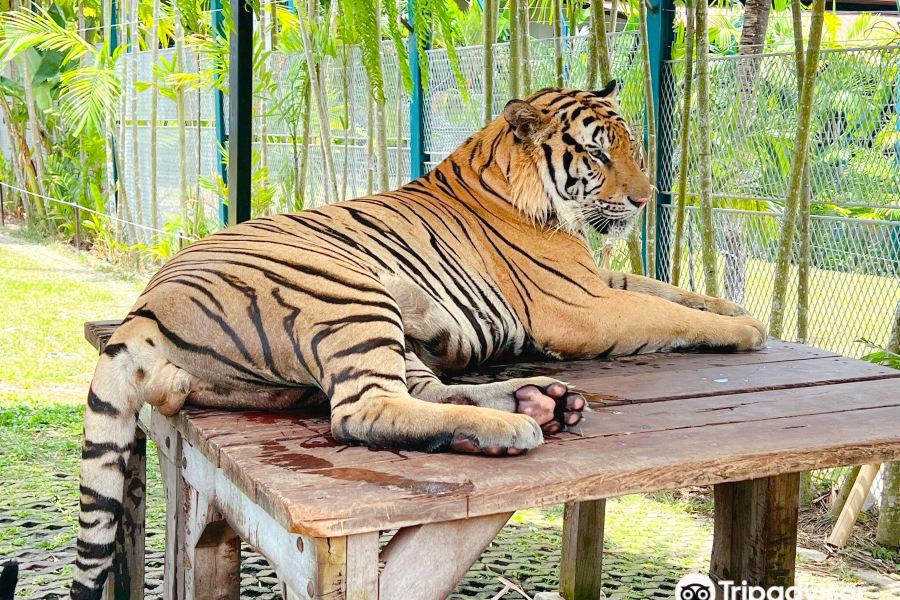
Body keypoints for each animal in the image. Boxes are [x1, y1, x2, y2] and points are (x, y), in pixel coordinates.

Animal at [70, 82, 765, 598]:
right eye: (597, 156)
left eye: (634, 148)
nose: (645, 200)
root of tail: (143, 308)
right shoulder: (580, 305)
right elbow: (663, 312)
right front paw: (744, 329)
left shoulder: (595, 279)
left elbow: (664, 287)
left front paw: (735, 306)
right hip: (350, 292)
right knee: (361, 412)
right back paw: (517, 426)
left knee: (417, 392)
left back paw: (539, 402)